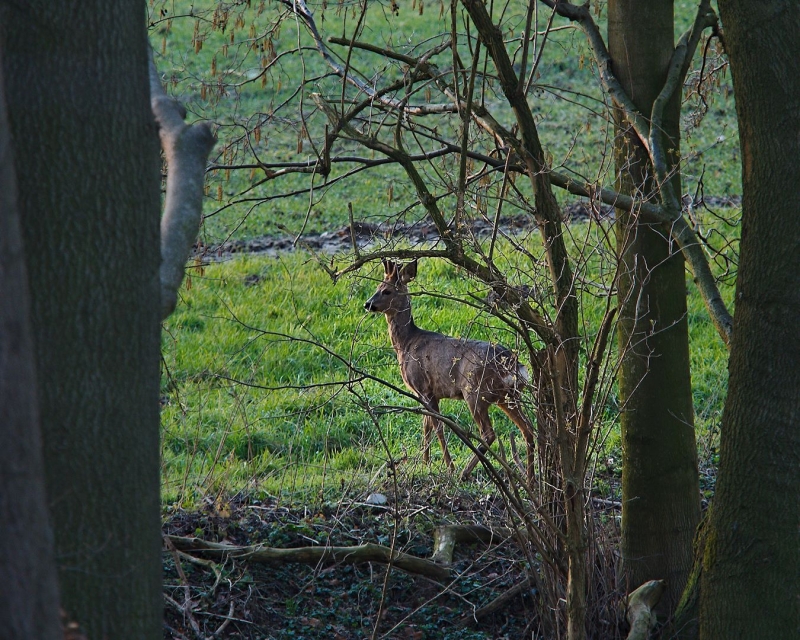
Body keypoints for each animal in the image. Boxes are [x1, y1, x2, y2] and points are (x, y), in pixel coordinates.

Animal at [366, 260, 536, 480]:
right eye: (377, 287)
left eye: (386, 290)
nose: (367, 304)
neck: (406, 344)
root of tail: (511, 363)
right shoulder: (426, 393)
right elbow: (426, 425)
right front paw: (425, 462)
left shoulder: (424, 387)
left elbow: (437, 426)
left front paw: (448, 466)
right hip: (508, 396)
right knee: (528, 430)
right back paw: (530, 478)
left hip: (475, 391)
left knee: (488, 433)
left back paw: (464, 472)